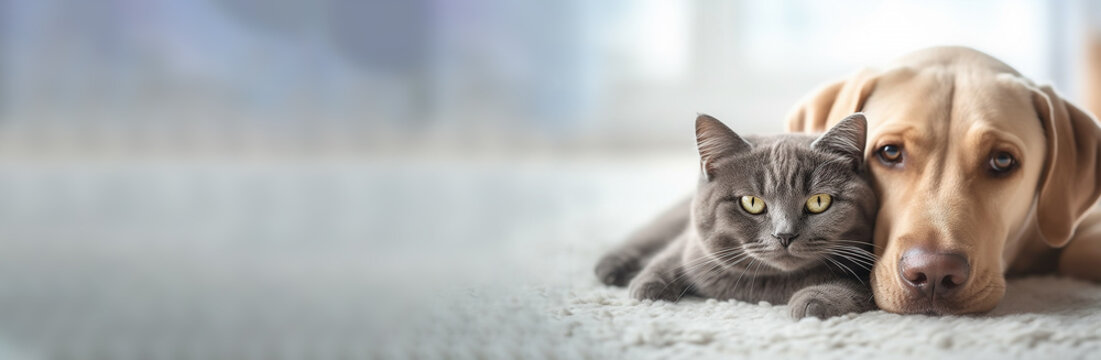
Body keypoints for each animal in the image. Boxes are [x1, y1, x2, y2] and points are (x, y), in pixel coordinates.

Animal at [594, 114, 876, 319]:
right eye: (751, 202)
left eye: (818, 202)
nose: (784, 235)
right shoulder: (691, 242)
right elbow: (675, 253)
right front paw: (648, 283)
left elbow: (860, 286)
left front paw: (816, 299)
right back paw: (613, 268)